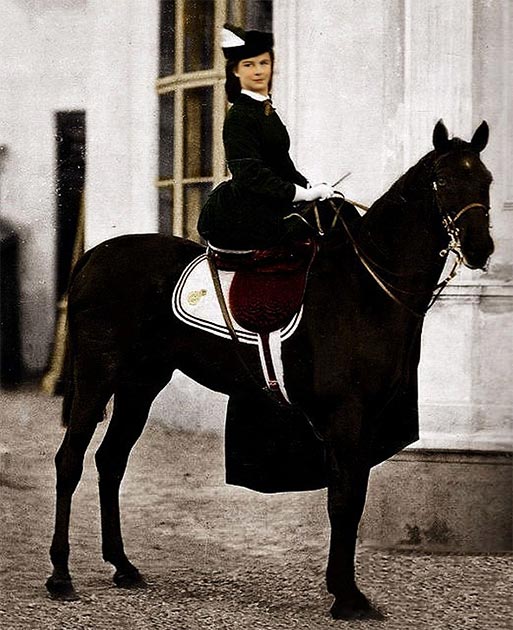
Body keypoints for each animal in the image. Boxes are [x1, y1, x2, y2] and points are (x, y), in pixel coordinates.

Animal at [47, 123, 492, 624]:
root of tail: (96, 254)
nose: (482, 249)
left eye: (487, 181)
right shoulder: (345, 415)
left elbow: (353, 497)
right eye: (444, 181)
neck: (366, 288)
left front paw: (345, 590)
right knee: (70, 460)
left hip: (140, 384)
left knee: (111, 461)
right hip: (97, 376)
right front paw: (346, 596)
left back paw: (122, 565)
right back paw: (60, 576)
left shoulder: (367, 418)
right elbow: (343, 501)